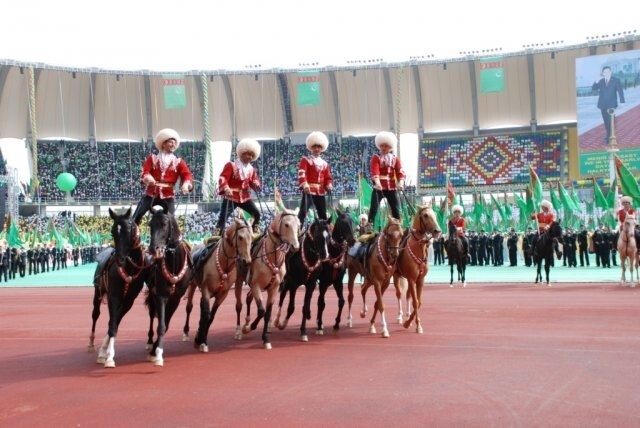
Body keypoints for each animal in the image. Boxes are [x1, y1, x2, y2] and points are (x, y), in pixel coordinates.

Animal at [88, 207, 147, 368]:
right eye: (113, 231)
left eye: (128, 230)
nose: (120, 259)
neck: (129, 268)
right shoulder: (114, 296)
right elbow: (112, 323)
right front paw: (108, 356)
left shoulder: (129, 300)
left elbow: (115, 322)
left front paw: (106, 351)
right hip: (98, 292)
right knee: (95, 314)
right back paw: (91, 343)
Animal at [145, 202, 192, 366]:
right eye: (150, 224)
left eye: (164, 224)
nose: (153, 249)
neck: (174, 264)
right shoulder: (160, 295)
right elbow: (161, 324)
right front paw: (156, 352)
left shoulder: (176, 298)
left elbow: (166, 322)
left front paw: (157, 349)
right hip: (152, 294)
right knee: (152, 314)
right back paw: (149, 341)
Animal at [182, 217, 252, 352]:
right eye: (240, 237)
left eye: (251, 236)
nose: (246, 261)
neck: (224, 265)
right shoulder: (206, 290)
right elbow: (206, 315)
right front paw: (200, 340)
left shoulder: (222, 294)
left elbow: (210, 317)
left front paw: (201, 339)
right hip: (192, 284)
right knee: (189, 307)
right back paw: (186, 332)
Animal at [232, 209, 300, 350]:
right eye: (286, 224)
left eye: (299, 224)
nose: (296, 246)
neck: (272, 257)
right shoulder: (256, 285)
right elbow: (261, 310)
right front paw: (249, 328)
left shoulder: (273, 288)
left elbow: (267, 312)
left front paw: (265, 339)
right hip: (240, 280)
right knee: (239, 305)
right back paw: (239, 330)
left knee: (248, 298)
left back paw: (247, 322)